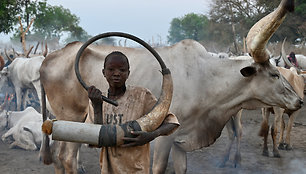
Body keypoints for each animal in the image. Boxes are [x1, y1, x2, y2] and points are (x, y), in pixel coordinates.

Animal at [38, 0, 302, 173]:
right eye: (274, 74)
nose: (299, 101)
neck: (206, 79)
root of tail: (49, 59)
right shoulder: (165, 138)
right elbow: (159, 168)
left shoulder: (181, 142)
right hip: (73, 118)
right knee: (67, 158)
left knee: (60, 158)